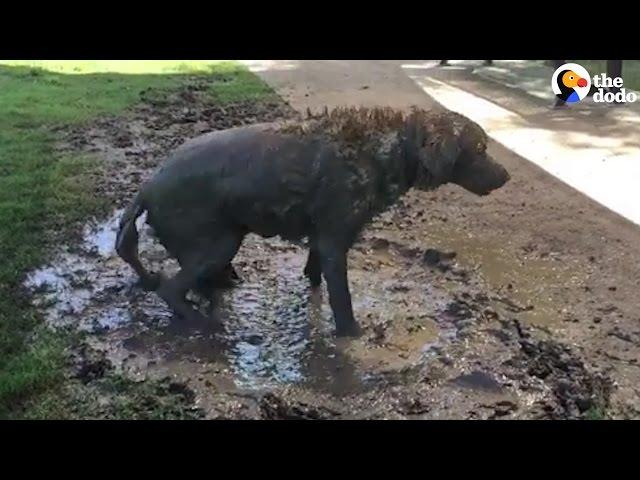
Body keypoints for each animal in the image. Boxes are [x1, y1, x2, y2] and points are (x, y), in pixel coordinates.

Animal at [116, 107, 510, 336]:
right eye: (479, 149)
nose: (506, 176)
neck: (391, 147)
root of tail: (146, 186)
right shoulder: (336, 240)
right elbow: (343, 301)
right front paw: (353, 333)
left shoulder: (322, 237)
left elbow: (314, 271)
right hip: (220, 243)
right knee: (171, 289)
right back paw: (199, 322)